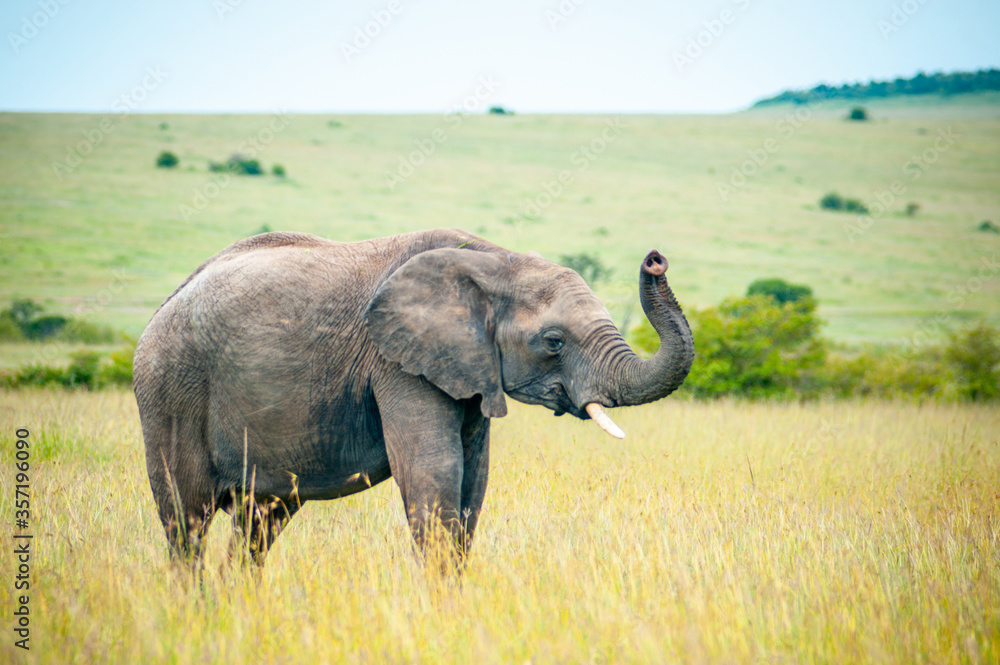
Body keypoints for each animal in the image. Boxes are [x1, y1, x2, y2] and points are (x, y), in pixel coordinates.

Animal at [133, 228, 694, 567]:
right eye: (553, 341)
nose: (655, 260)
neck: (494, 259)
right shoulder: (397, 363)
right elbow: (435, 469)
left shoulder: (469, 369)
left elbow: (473, 480)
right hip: (171, 388)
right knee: (187, 519)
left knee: (259, 521)